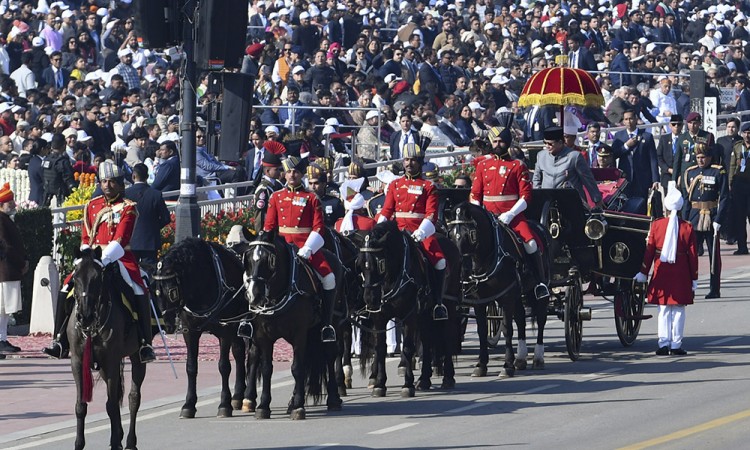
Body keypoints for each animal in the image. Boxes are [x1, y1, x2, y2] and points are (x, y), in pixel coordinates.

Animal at [67, 248, 147, 450]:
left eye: (98, 277)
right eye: (75, 278)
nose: (85, 316)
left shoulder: (111, 361)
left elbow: (111, 406)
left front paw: (116, 443)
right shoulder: (78, 362)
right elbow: (80, 405)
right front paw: (79, 443)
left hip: (136, 358)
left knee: (133, 397)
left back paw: (129, 441)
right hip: (103, 366)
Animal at [152, 239, 247, 418]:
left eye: (172, 291)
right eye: (156, 291)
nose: (167, 324)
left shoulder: (225, 330)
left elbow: (224, 366)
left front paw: (224, 404)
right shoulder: (191, 332)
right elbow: (191, 367)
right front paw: (189, 404)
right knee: (239, 353)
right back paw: (238, 395)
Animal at [242, 230, 342, 420]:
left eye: (270, 260)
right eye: (247, 259)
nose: (254, 296)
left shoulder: (299, 333)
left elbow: (297, 368)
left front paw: (298, 406)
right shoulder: (263, 335)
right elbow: (267, 368)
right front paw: (263, 406)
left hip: (329, 325)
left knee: (329, 353)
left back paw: (333, 398)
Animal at [354, 220, 464, 396]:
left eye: (380, 264)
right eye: (359, 265)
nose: (370, 299)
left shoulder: (409, 316)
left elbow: (407, 348)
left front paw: (407, 384)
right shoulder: (380, 318)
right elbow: (380, 348)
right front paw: (380, 384)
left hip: (449, 305)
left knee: (446, 335)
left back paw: (447, 377)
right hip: (425, 313)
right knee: (426, 340)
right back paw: (424, 379)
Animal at [446, 203, 552, 376]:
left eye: (471, 234)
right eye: (450, 235)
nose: (461, 271)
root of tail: (540, 226)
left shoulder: (507, 296)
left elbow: (507, 329)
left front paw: (507, 365)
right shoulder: (479, 301)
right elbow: (482, 331)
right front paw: (481, 365)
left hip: (541, 289)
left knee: (541, 317)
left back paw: (538, 357)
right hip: (517, 294)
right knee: (521, 318)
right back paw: (521, 358)